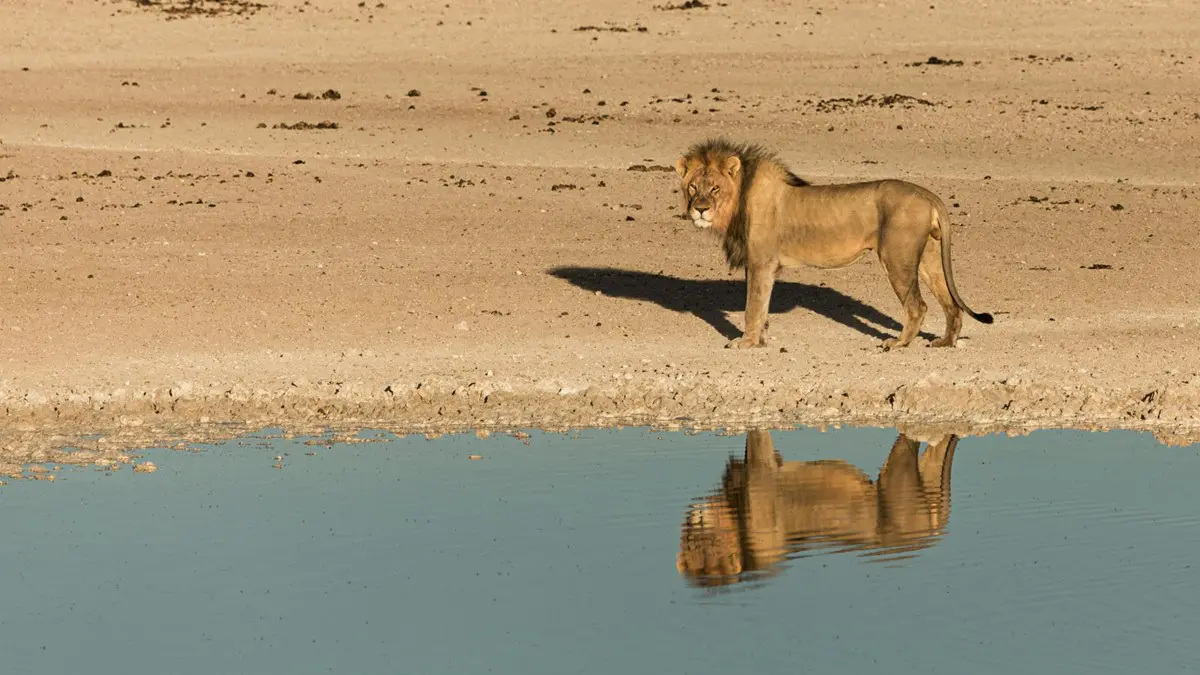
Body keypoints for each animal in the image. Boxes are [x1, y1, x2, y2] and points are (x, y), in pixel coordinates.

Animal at [676, 135, 993, 345]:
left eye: (715, 189)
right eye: (693, 187)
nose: (700, 208)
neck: (739, 199)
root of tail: (928, 194)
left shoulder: (761, 262)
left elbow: (752, 306)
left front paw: (746, 343)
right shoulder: (761, 266)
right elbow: (761, 304)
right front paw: (761, 340)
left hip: (897, 258)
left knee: (918, 306)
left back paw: (898, 344)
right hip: (929, 258)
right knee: (951, 303)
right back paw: (945, 342)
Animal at [676, 427, 955, 586]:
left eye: (706, 547)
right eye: (690, 545)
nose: (691, 521)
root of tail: (930, 534)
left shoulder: (761, 471)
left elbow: (756, 439)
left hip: (896, 480)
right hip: (927, 479)